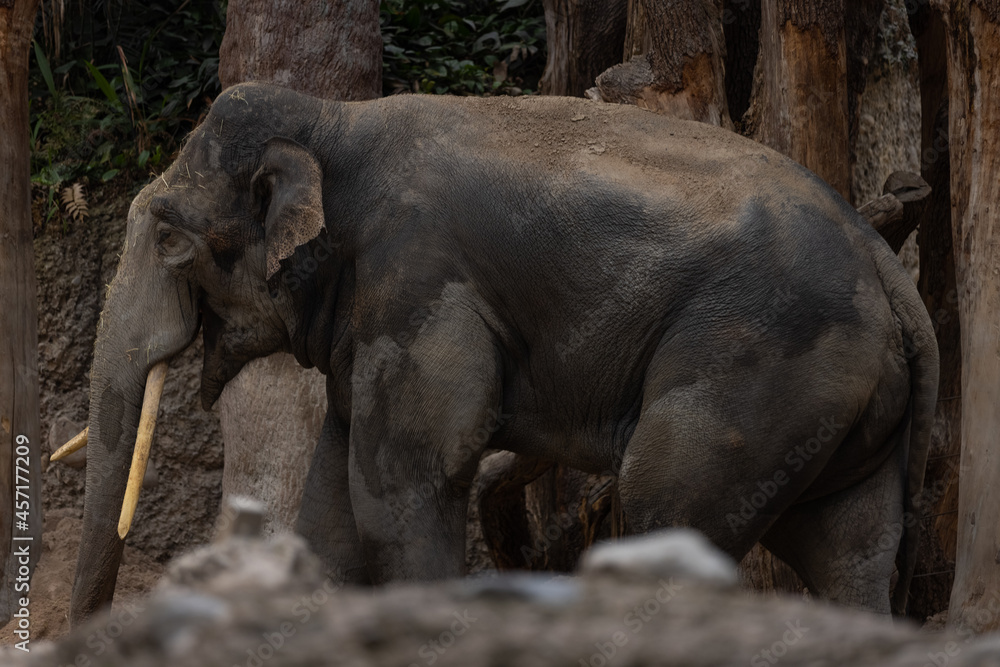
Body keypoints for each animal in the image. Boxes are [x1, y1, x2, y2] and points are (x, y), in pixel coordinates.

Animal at [71, 82, 938, 625]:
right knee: (849, 552)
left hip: (759, 371)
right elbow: (331, 516)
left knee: (667, 511)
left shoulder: (421, 279)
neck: (336, 118)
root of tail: (886, 261)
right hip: (839, 406)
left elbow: (403, 487)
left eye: (169, 238)